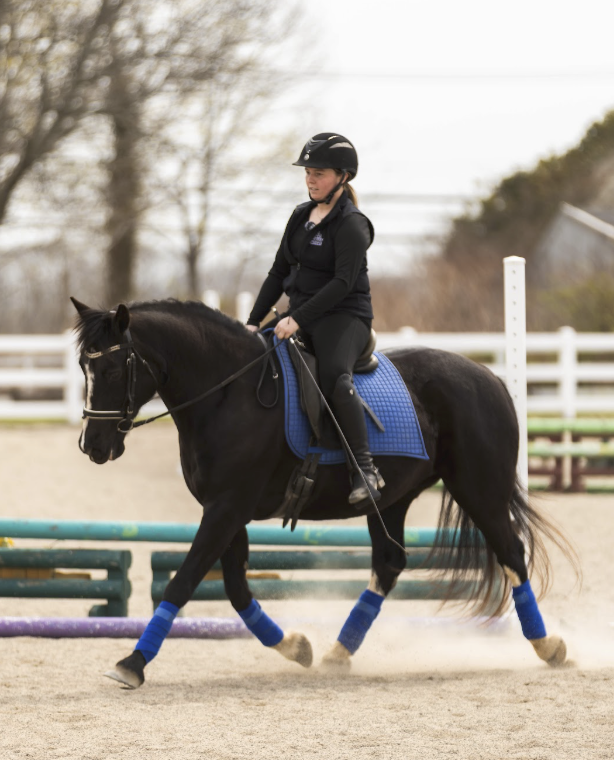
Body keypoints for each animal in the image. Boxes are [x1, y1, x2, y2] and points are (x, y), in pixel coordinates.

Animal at [71, 296, 576, 689]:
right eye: (82, 366)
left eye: (112, 368)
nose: (92, 447)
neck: (228, 392)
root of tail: (490, 378)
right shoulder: (227, 509)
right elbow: (235, 588)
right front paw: (296, 647)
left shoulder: (226, 507)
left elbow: (184, 580)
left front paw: (132, 663)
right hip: (392, 500)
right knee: (390, 563)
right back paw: (338, 652)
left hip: (479, 488)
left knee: (511, 552)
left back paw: (548, 645)